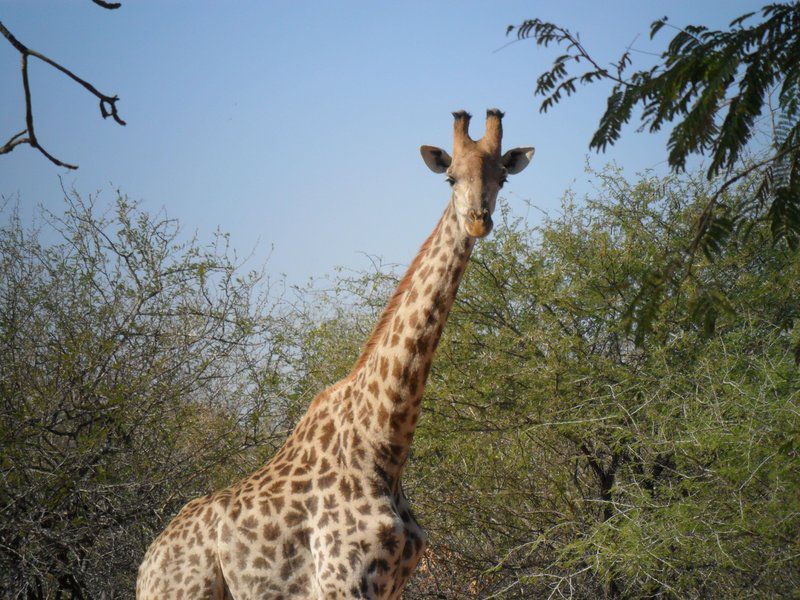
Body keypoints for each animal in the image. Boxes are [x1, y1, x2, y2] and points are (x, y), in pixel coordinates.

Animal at [136, 109, 536, 600]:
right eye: (450, 177)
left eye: (502, 177)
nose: (478, 220)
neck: (383, 447)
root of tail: (147, 565)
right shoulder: (341, 581)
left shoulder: (391, 584)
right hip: (184, 592)